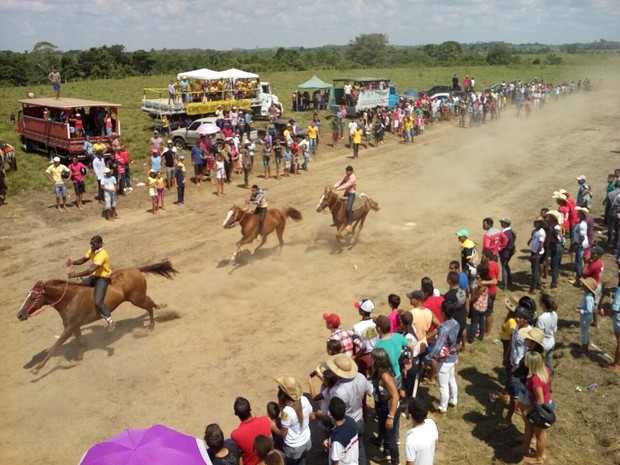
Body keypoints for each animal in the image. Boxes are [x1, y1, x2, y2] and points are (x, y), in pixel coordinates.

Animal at [15, 260, 179, 372]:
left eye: (33, 297)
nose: (20, 315)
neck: (70, 298)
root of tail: (135, 269)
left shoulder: (69, 327)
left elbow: (55, 346)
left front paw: (37, 368)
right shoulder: (75, 326)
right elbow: (80, 342)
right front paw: (78, 359)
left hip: (136, 299)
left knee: (149, 307)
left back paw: (150, 326)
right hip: (138, 297)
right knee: (150, 302)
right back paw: (161, 309)